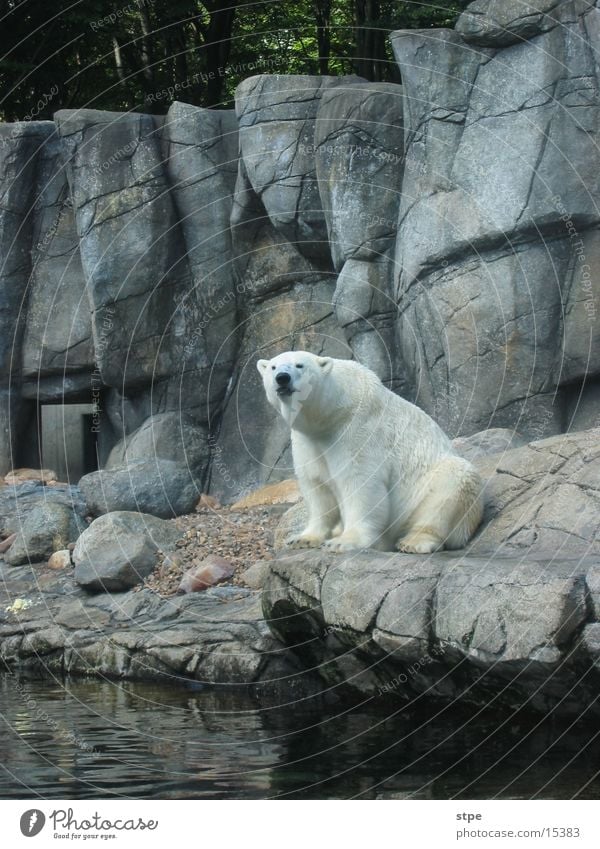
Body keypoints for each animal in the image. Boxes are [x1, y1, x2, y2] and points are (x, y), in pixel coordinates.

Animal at [256, 350, 482, 552]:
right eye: (274, 367)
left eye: (300, 365)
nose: (282, 378)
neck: (330, 414)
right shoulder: (308, 441)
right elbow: (317, 488)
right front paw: (303, 538)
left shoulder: (357, 430)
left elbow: (360, 483)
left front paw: (344, 542)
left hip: (432, 492)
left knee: (449, 484)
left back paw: (413, 542)